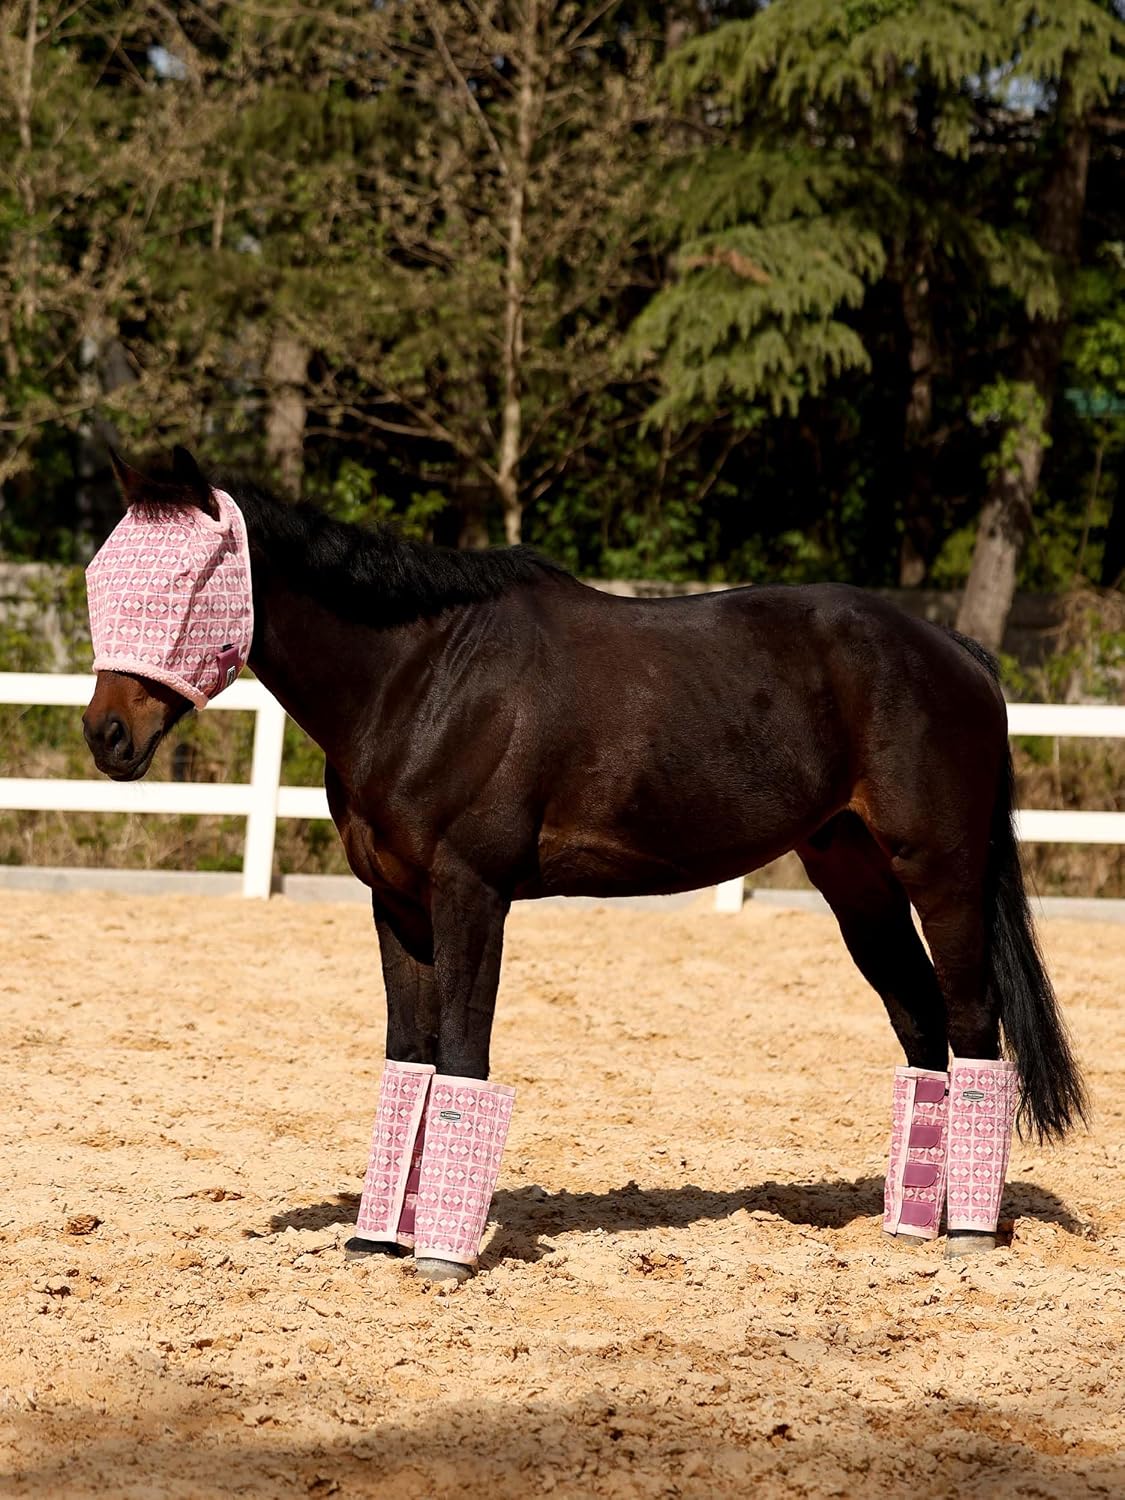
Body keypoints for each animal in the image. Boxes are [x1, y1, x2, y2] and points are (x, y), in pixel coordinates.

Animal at [82, 446, 1086, 1280]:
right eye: (101, 573)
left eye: (187, 576)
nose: (107, 734)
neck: (420, 680)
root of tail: (955, 652)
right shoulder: (395, 905)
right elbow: (408, 1060)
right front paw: (376, 1241)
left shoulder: (471, 894)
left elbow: (463, 1056)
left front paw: (442, 1258)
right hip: (854, 877)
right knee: (919, 1027)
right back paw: (910, 1225)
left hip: (939, 872)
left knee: (971, 1023)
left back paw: (966, 1233)